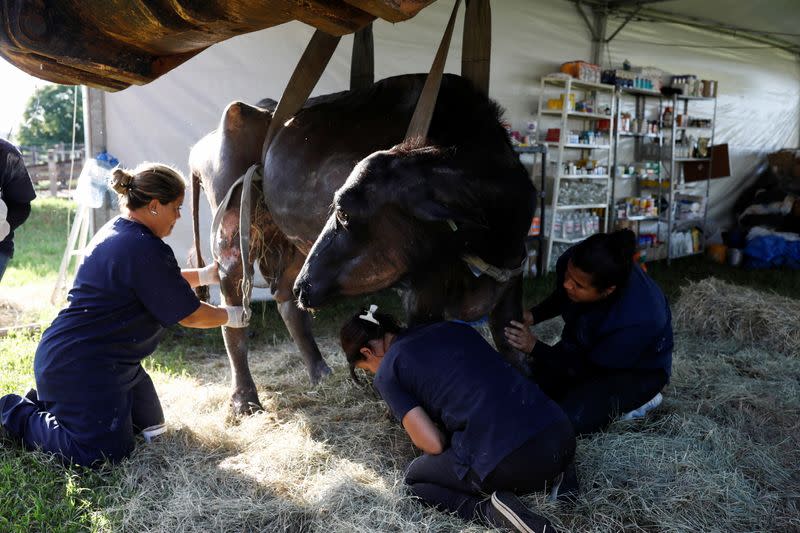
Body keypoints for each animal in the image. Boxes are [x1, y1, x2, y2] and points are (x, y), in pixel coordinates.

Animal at [191, 74, 536, 416]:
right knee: (233, 315)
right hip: (233, 238)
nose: (306, 285)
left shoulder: (512, 273)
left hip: (295, 248)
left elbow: (513, 349)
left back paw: (320, 373)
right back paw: (245, 399)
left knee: (288, 301)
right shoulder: (420, 292)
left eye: (343, 213)